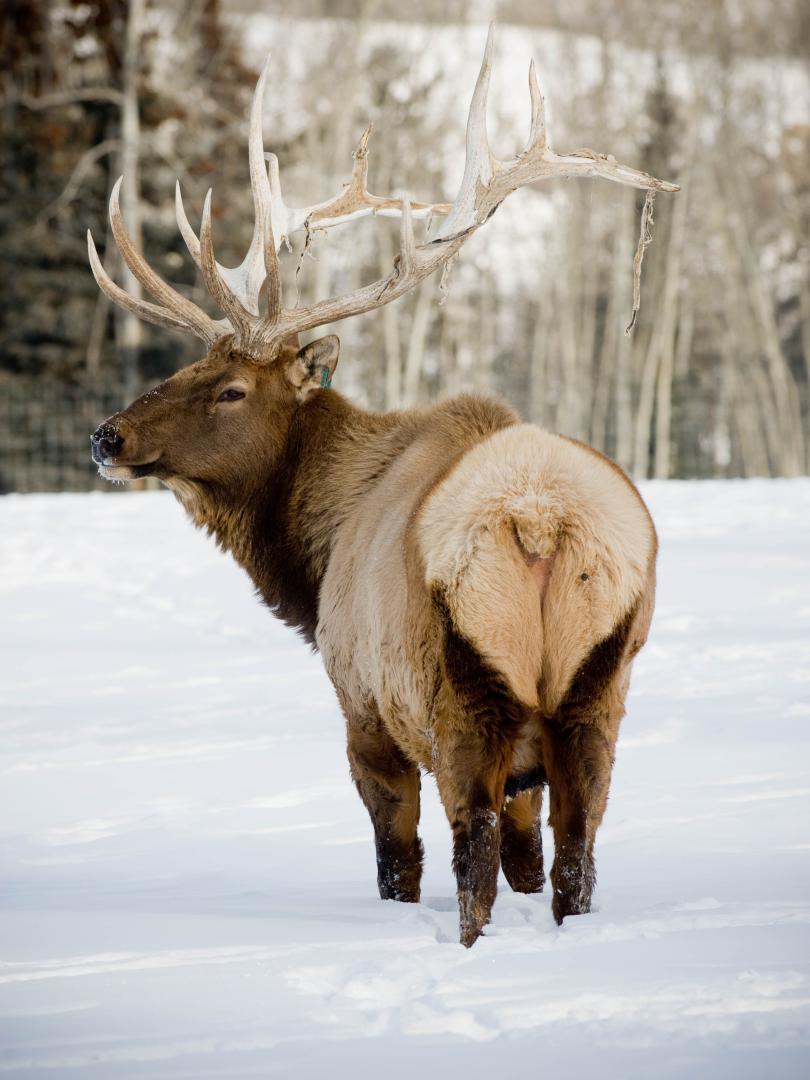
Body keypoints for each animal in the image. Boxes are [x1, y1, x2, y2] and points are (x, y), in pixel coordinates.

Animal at [88, 28, 676, 947]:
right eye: (189, 366)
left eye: (232, 389)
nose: (108, 436)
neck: (315, 549)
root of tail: (540, 521)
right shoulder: (534, 763)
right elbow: (530, 858)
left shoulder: (362, 706)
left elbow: (396, 864)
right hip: (596, 688)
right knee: (575, 857)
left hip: (463, 692)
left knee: (470, 861)